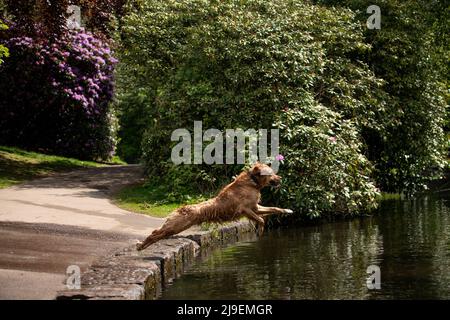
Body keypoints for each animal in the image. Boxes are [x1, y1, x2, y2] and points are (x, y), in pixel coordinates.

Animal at [136, 162, 292, 250]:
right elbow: (261, 220)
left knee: (157, 233)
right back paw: (141, 245)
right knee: (156, 233)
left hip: (176, 227)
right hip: (177, 225)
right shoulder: (244, 209)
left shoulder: (256, 207)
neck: (253, 182)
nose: (280, 178)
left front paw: (288, 210)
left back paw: (142, 246)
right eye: (271, 174)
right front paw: (260, 230)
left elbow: (274, 209)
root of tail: (181, 208)